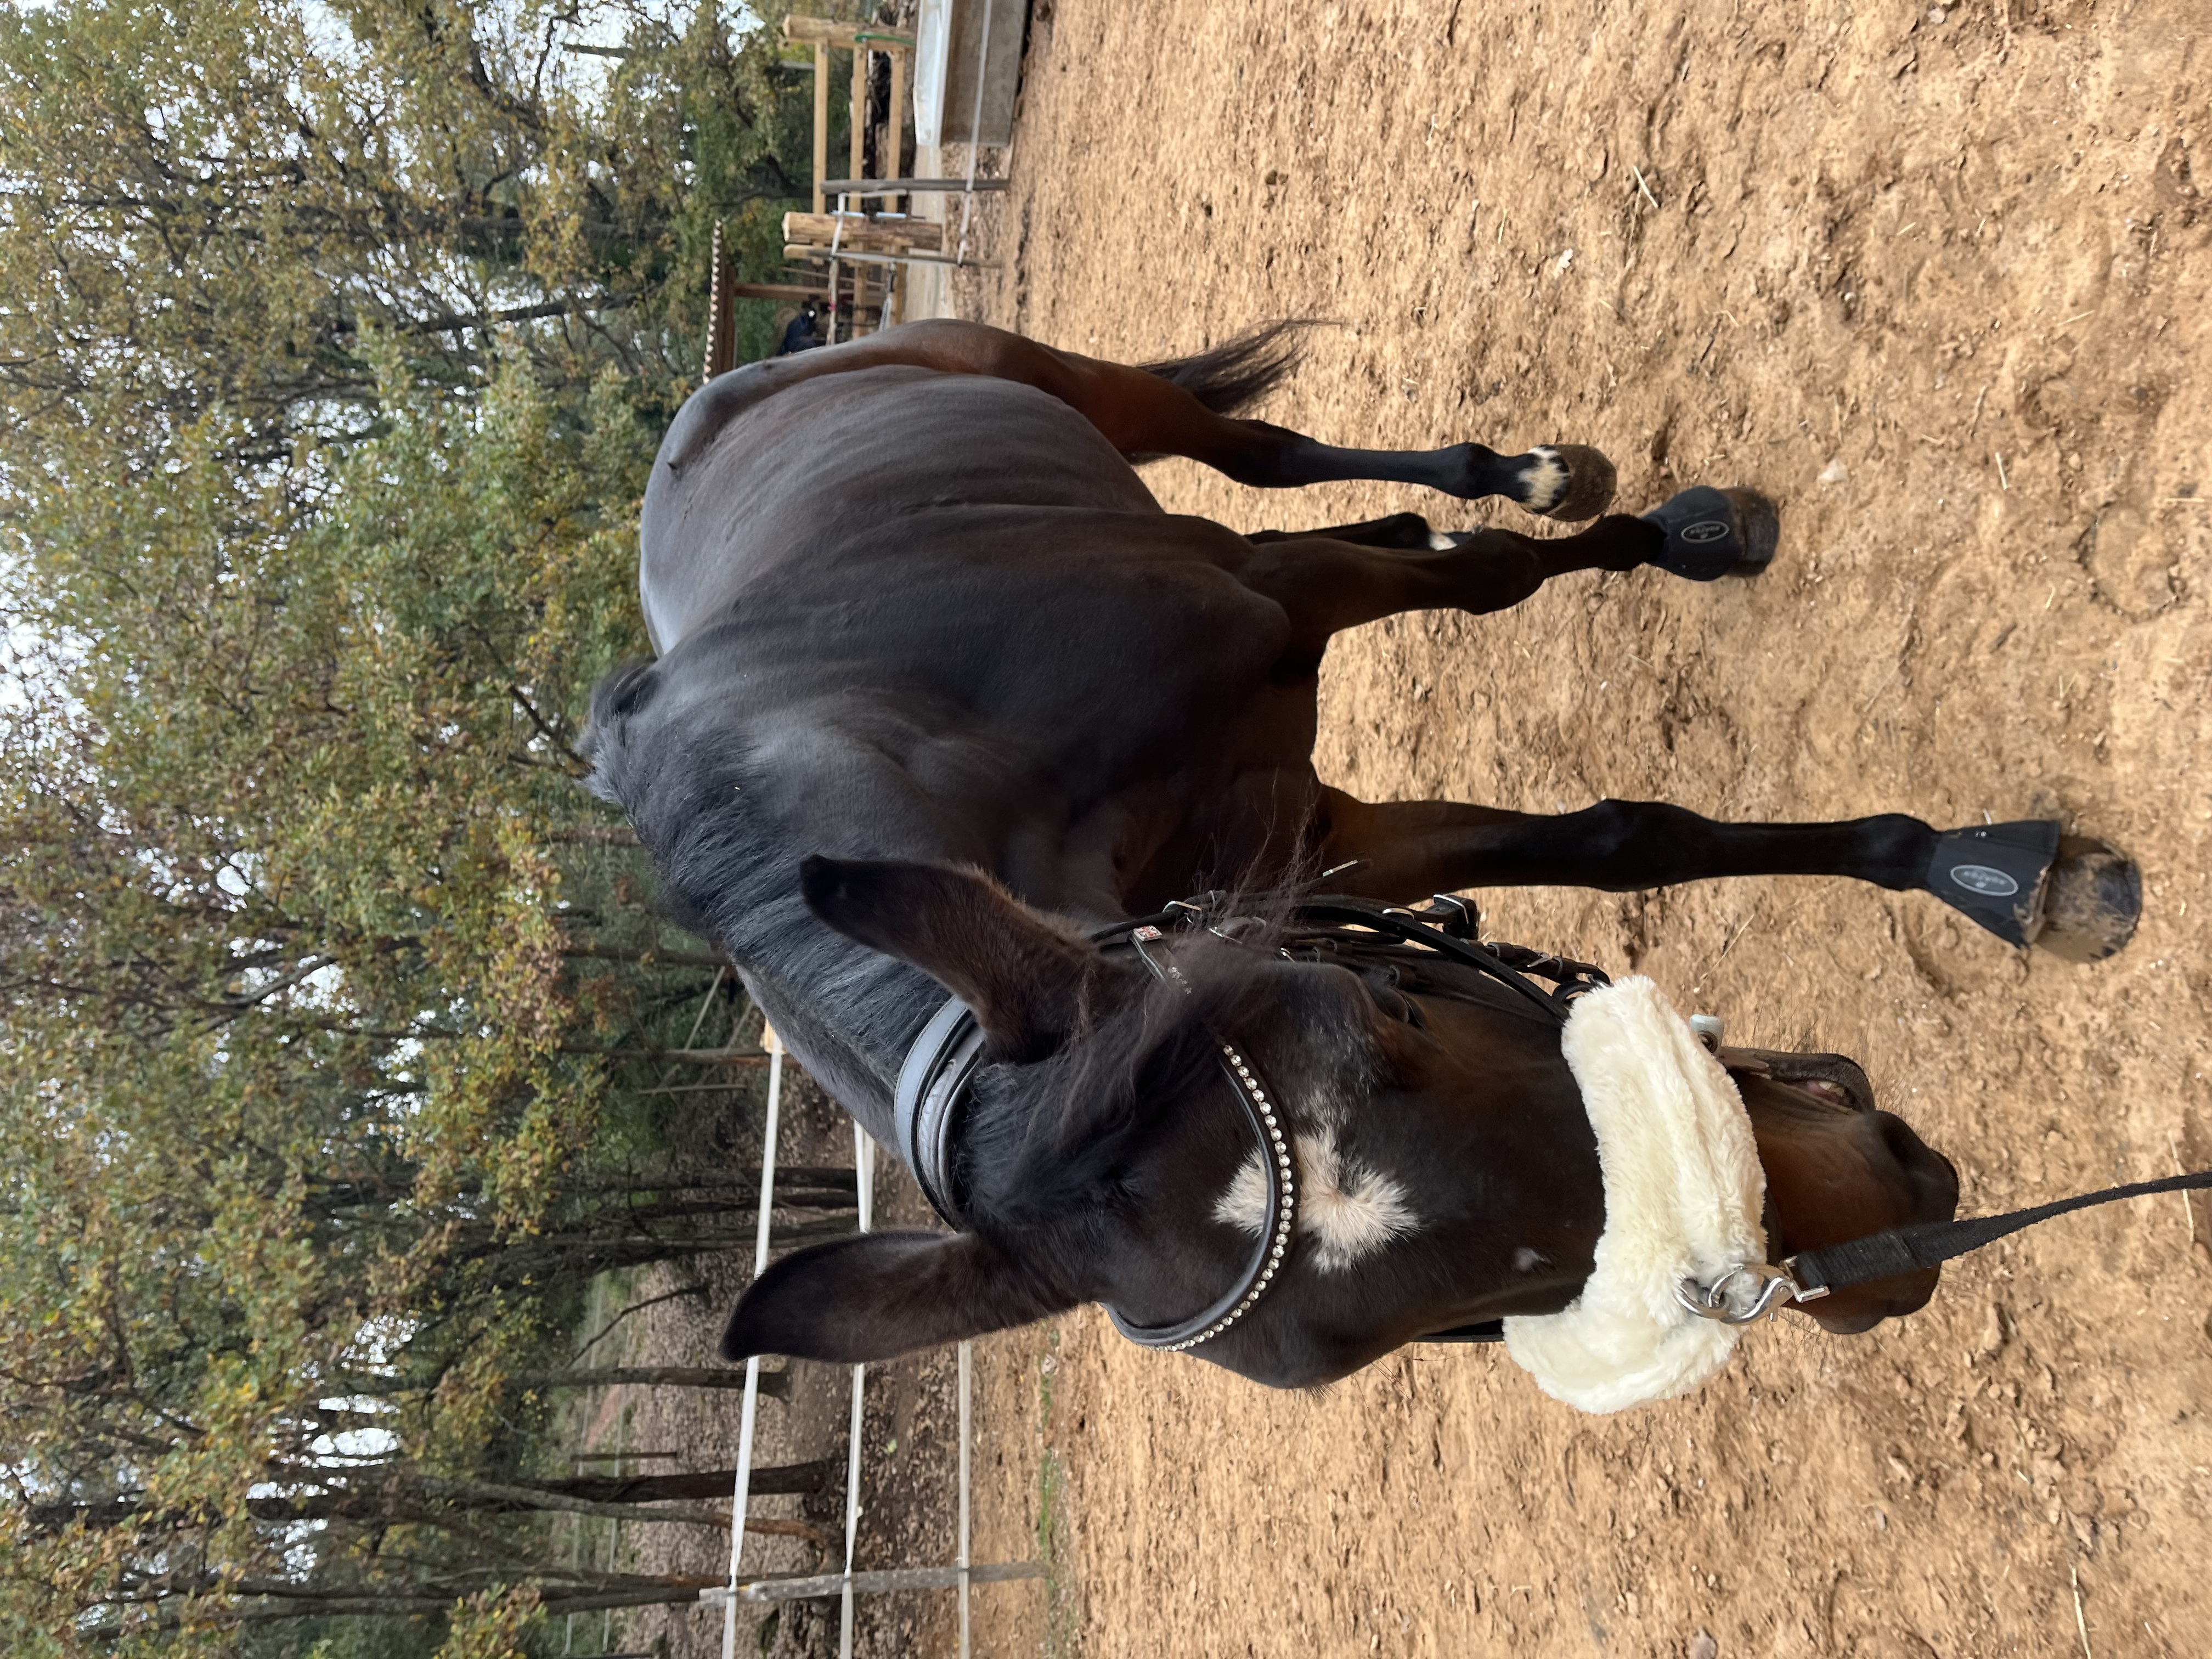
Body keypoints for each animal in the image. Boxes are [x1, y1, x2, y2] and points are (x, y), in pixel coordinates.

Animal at [583, 319, 2140, 1391]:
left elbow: (1526, 648)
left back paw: (1569, 491)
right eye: (1440, 1326)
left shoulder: (1281, 611)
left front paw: (1992, 871)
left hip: (1072, 387)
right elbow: (1607, 843)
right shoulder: (1314, 861)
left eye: (1387, 1015)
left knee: (1267, 458)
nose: (1890, 1226)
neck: (913, 728)